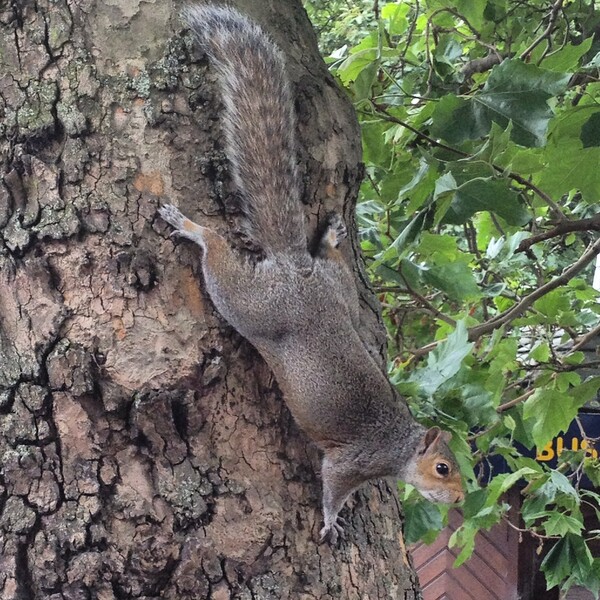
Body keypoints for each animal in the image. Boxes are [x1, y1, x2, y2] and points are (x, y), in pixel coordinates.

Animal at [159, 4, 464, 544]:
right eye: (443, 469)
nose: (461, 500)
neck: (397, 447)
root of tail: (295, 270)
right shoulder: (351, 462)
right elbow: (332, 487)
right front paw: (330, 522)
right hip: (252, 304)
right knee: (218, 256)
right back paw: (194, 228)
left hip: (336, 292)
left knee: (331, 267)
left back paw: (332, 238)